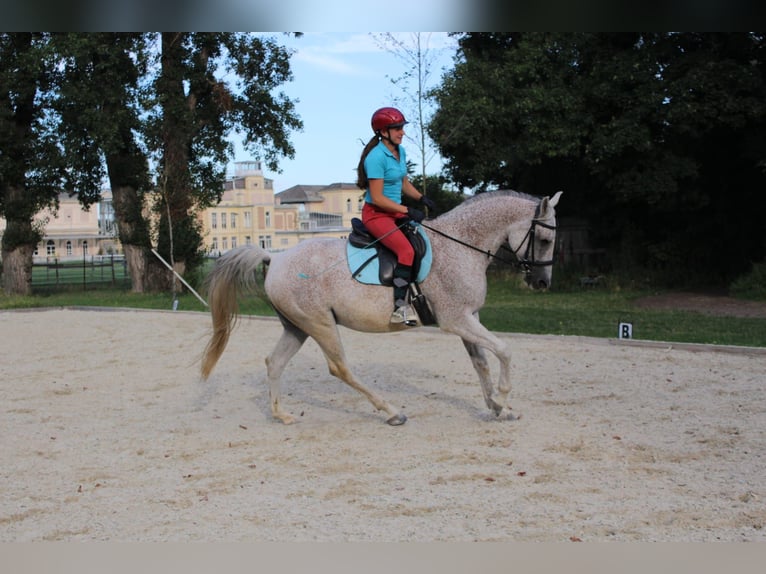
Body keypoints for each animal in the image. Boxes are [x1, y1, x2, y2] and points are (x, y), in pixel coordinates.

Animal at [200, 190, 562, 425]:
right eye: (545, 240)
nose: (543, 283)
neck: (461, 245)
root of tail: (274, 258)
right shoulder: (456, 320)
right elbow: (504, 350)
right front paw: (502, 398)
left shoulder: (469, 318)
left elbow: (482, 363)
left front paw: (498, 408)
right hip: (320, 325)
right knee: (339, 368)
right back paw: (391, 411)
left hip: (297, 327)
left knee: (275, 363)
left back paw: (281, 414)